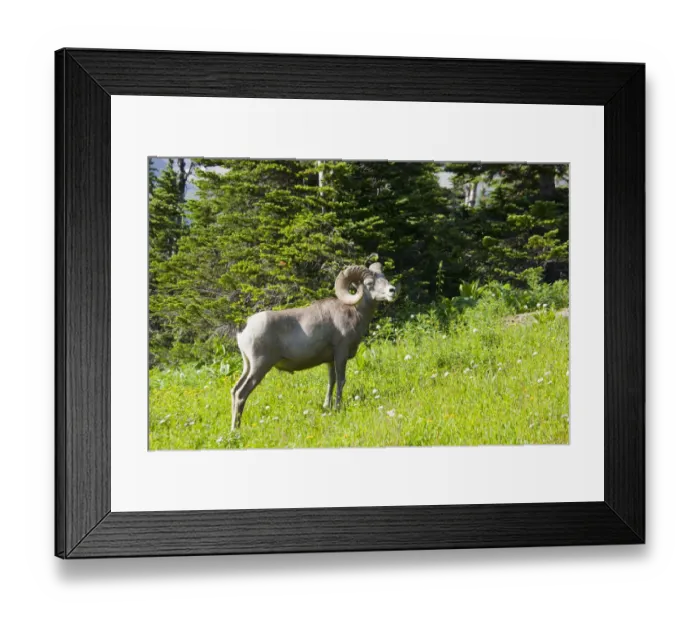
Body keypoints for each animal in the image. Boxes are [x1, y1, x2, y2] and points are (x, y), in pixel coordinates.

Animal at [231, 262, 397, 429]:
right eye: (369, 283)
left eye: (384, 278)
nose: (392, 290)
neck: (354, 314)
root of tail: (244, 329)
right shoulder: (341, 354)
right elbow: (341, 381)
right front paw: (338, 407)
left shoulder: (330, 360)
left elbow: (331, 381)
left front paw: (327, 406)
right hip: (260, 366)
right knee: (241, 394)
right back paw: (236, 428)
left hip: (248, 366)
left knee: (235, 390)